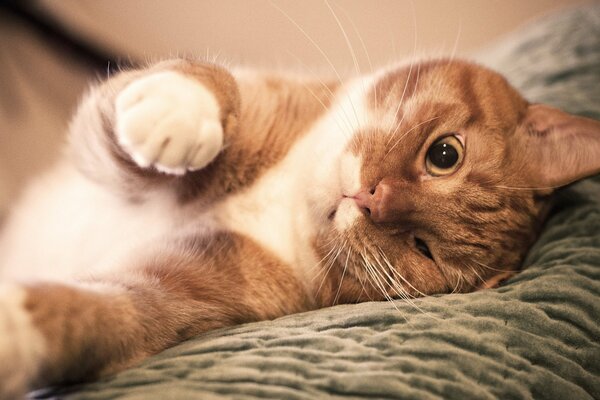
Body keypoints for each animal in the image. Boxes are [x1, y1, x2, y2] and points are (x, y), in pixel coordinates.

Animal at [0, 57, 596, 396]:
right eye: (445, 154)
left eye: (423, 249)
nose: (373, 200)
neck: (282, 201)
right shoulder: (100, 144)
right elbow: (210, 81)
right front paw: (180, 112)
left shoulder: (173, 294)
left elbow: (102, 313)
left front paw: (16, 330)